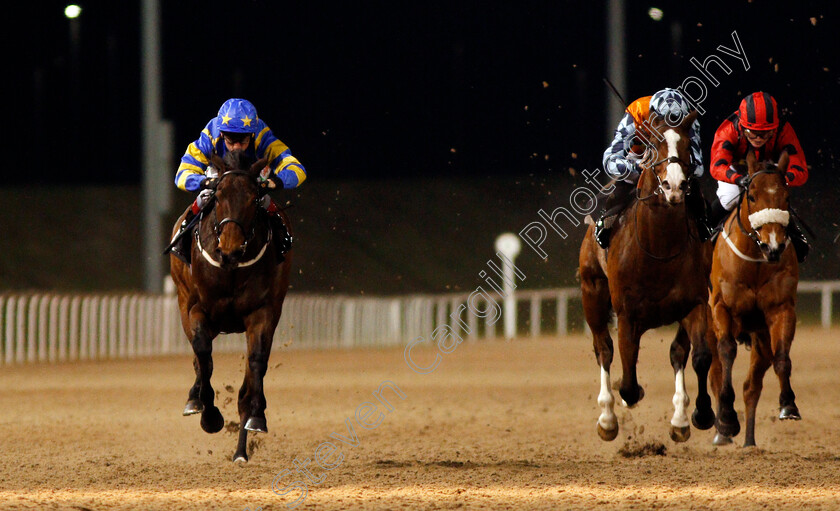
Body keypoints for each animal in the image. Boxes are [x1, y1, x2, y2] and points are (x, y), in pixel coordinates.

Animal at [167, 149, 292, 464]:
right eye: (219, 194)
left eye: (253, 197)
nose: (230, 250)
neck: (231, 269)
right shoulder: (198, 308)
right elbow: (203, 355)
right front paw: (209, 415)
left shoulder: (262, 312)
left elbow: (256, 362)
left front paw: (256, 417)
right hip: (185, 302)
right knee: (200, 358)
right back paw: (195, 398)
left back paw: (240, 450)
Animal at [580, 111, 720, 444]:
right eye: (652, 145)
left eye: (687, 145)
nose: (674, 185)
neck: (658, 249)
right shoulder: (627, 314)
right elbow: (628, 378)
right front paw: (624, 401)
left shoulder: (695, 303)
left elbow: (699, 356)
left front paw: (700, 414)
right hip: (592, 291)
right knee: (604, 349)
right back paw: (607, 418)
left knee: (678, 353)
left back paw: (680, 418)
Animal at [708, 150, 800, 446]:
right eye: (752, 196)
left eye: (787, 197)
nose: (773, 246)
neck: (756, 263)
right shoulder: (721, 307)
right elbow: (727, 351)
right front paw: (726, 417)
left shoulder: (781, 309)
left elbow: (782, 358)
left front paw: (788, 404)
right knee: (714, 373)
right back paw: (722, 430)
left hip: (760, 339)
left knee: (752, 386)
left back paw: (749, 441)